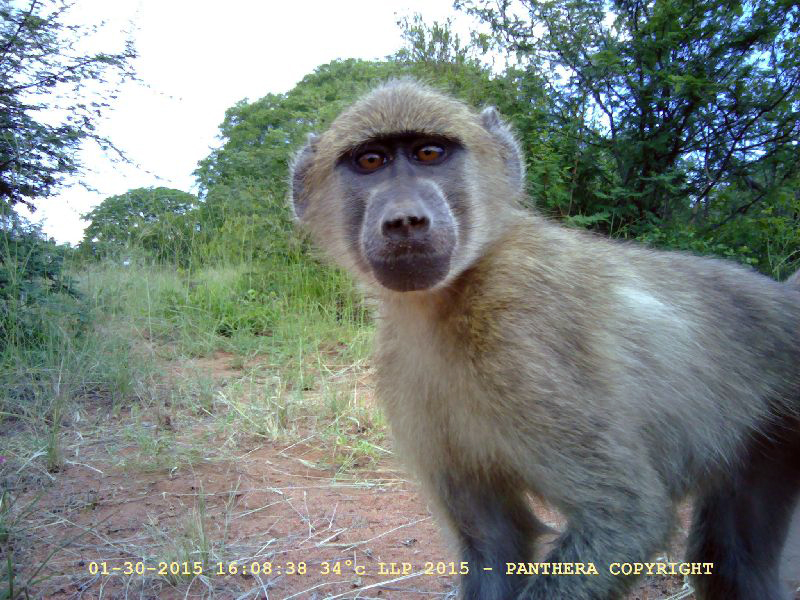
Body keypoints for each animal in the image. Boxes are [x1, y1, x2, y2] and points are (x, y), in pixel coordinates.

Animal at [289, 80, 800, 600]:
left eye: (429, 153)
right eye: (370, 161)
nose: (405, 220)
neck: (452, 297)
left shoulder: (519, 334)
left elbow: (625, 516)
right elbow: (493, 544)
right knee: (735, 560)